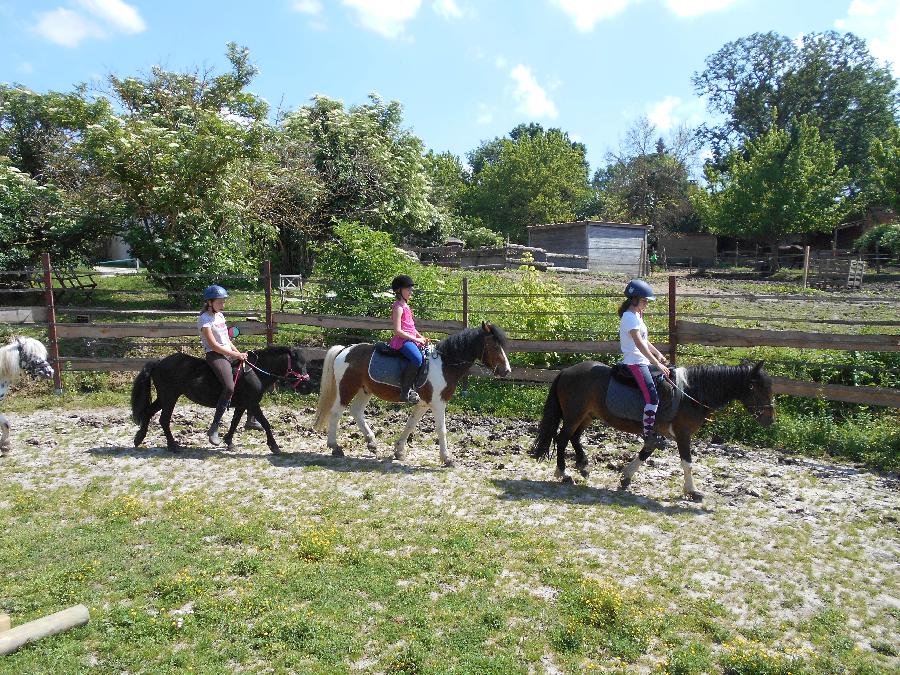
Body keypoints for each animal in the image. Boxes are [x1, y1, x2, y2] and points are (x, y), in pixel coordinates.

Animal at [314, 322, 512, 464]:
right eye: (494, 346)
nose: (506, 371)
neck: (445, 364)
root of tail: (345, 350)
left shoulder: (424, 403)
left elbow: (410, 424)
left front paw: (399, 451)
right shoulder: (438, 403)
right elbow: (441, 429)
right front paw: (447, 458)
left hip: (365, 390)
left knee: (356, 411)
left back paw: (371, 443)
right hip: (347, 388)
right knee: (336, 413)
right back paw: (335, 447)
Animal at [536, 362, 772, 500]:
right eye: (756, 388)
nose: (770, 419)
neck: (691, 393)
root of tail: (566, 371)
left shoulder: (661, 434)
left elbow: (646, 451)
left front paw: (626, 478)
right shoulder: (683, 434)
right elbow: (687, 463)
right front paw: (692, 491)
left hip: (587, 415)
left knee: (574, 438)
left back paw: (583, 466)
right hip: (574, 415)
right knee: (562, 438)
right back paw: (563, 473)